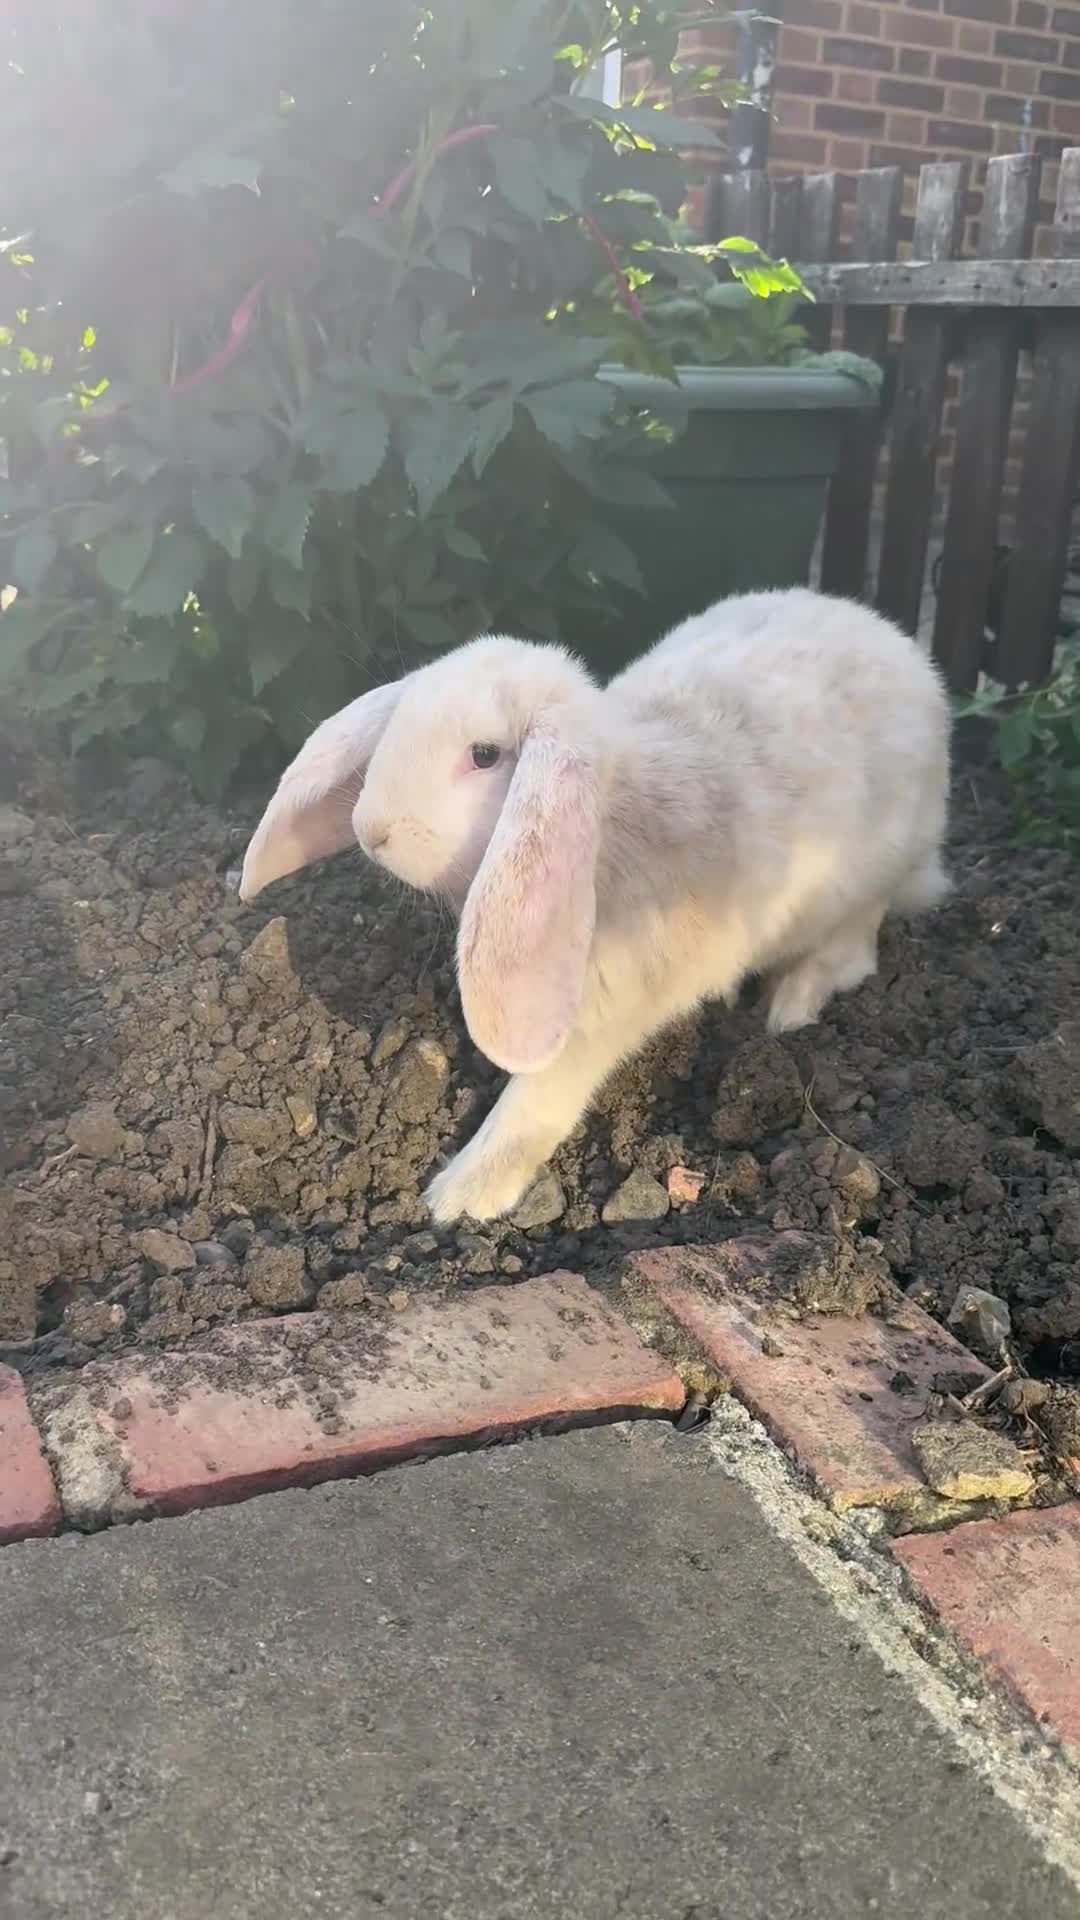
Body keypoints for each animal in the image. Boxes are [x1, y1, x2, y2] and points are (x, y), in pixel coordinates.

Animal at [240, 587, 950, 1224]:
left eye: (485, 755)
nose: (371, 829)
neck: (610, 823)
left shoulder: (601, 1007)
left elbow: (536, 1100)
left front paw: (459, 1196)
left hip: (867, 880)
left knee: (852, 952)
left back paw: (790, 1008)